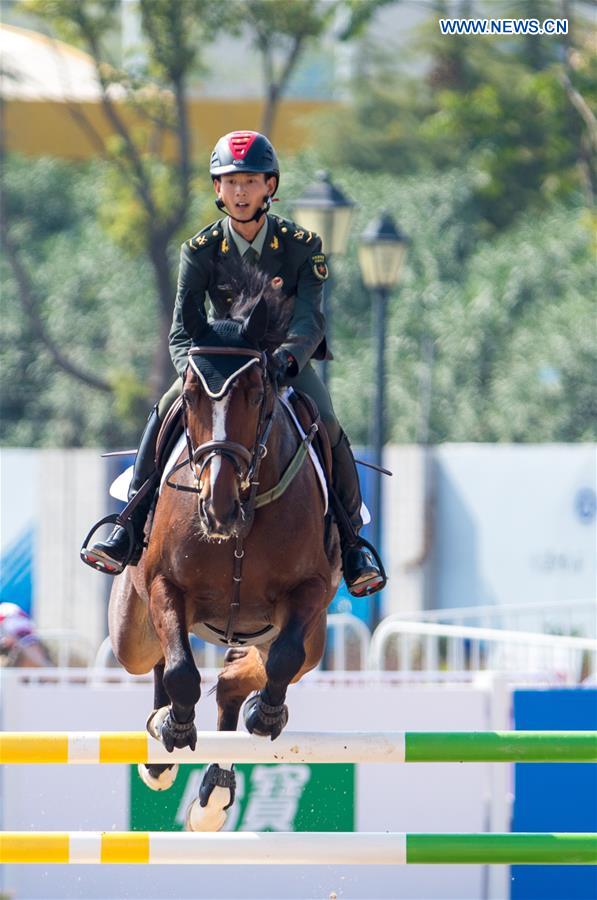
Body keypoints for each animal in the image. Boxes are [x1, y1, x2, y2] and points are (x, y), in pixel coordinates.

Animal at [107, 272, 340, 828]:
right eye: (191, 396)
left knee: (243, 677)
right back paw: (159, 746)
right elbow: (180, 670)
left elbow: (280, 662)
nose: (218, 507)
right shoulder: (165, 585)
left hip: (311, 641)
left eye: (256, 395)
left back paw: (215, 793)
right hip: (130, 630)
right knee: (152, 656)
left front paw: (266, 715)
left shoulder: (310, 592)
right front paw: (171, 728)